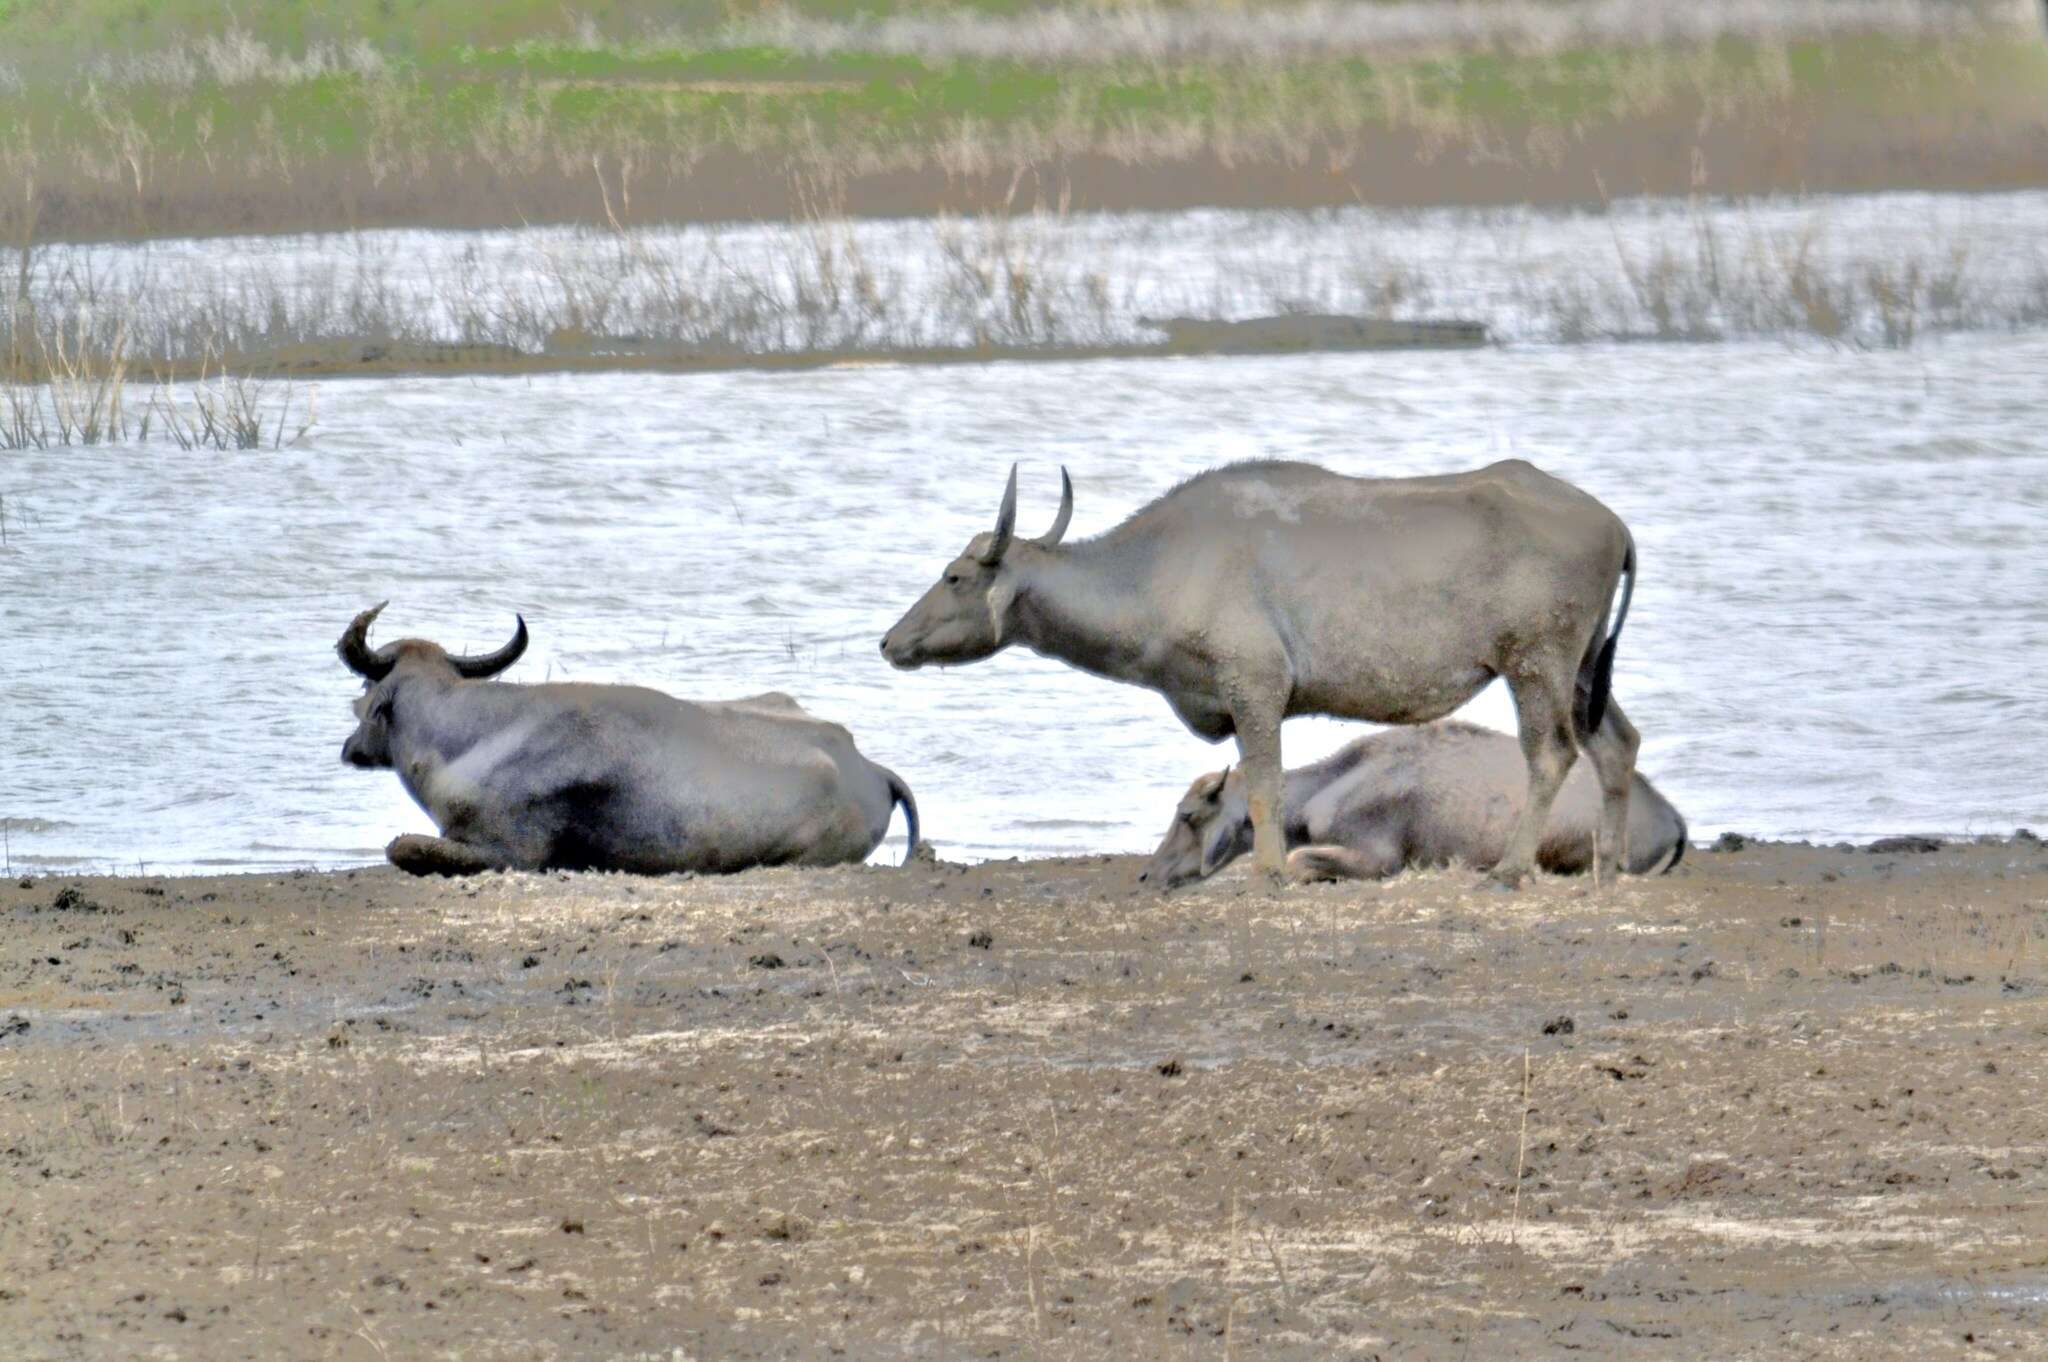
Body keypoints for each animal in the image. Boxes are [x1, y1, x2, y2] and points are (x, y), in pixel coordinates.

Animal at [339, 602, 917, 876]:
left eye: (366, 691)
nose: (349, 748)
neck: (474, 736)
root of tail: (871, 769)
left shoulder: (506, 849)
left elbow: (401, 846)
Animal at [880, 456, 1630, 888]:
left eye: (954, 576)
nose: (890, 642)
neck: (1157, 568)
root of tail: (1615, 526)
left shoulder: (1257, 690)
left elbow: (1265, 785)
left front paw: (1267, 871)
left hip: (1536, 666)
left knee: (1552, 753)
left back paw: (1510, 869)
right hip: (1585, 672)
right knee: (1617, 744)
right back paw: (1615, 864)